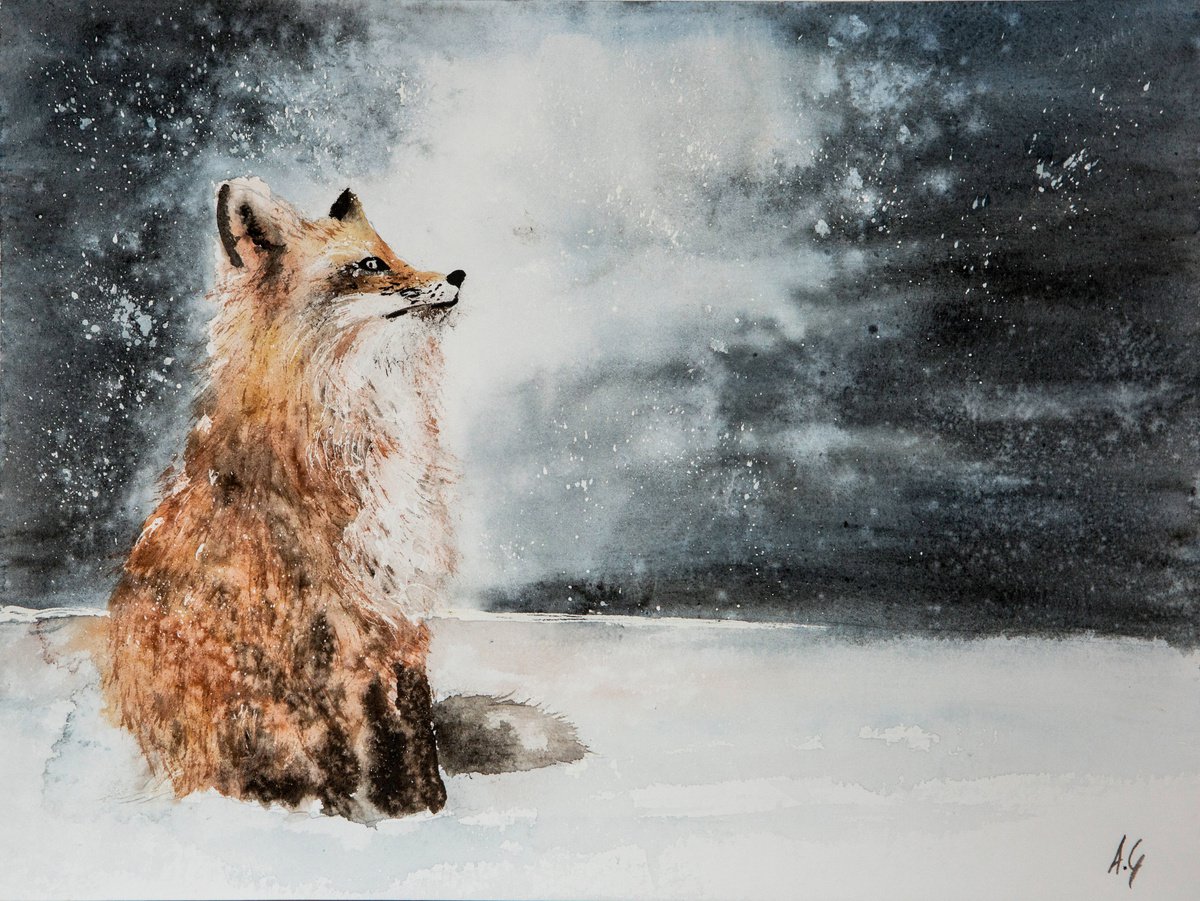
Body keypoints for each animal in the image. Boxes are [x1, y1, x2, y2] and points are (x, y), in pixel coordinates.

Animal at [103, 177, 464, 820]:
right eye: (369, 265)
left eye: (390, 253)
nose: (460, 274)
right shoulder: (320, 624)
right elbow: (342, 740)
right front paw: (356, 817)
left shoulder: (397, 608)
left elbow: (412, 722)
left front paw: (425, 806)